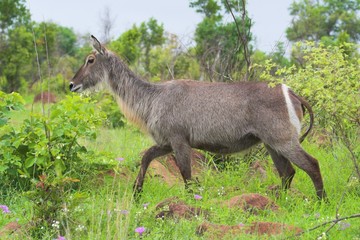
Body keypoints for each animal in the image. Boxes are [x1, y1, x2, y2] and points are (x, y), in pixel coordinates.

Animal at [69, 35, 326, 200]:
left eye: (90, 59)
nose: (72, 84)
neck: (153, 98)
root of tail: (291, 92)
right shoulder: (166, 142)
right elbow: (146, 157)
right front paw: (136, 193)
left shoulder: (179, 140)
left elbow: (187, 175)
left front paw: (193, 202)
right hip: (272, 144)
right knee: (287, 173)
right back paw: (281, 202)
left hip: (283, 140)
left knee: (311, 164)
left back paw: (322, 202)